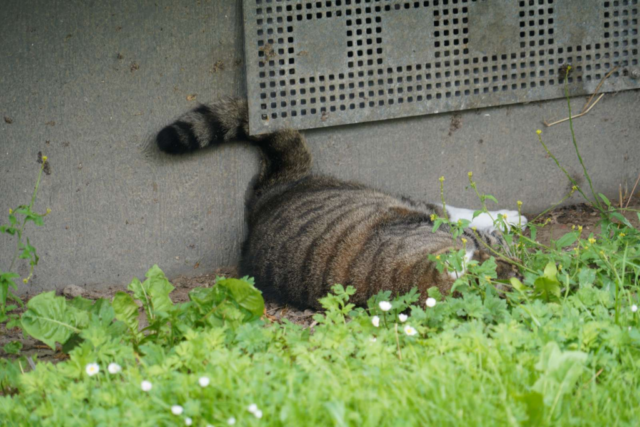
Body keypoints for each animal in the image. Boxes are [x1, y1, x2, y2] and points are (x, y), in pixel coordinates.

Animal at [158, 98, 528, 310]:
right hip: (388, 198)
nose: (519, 261)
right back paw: (511, 216)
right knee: (447, 208)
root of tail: (262, 202)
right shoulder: (426, 223)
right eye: (498, 251)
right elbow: (459, 219)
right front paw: (505, 227)